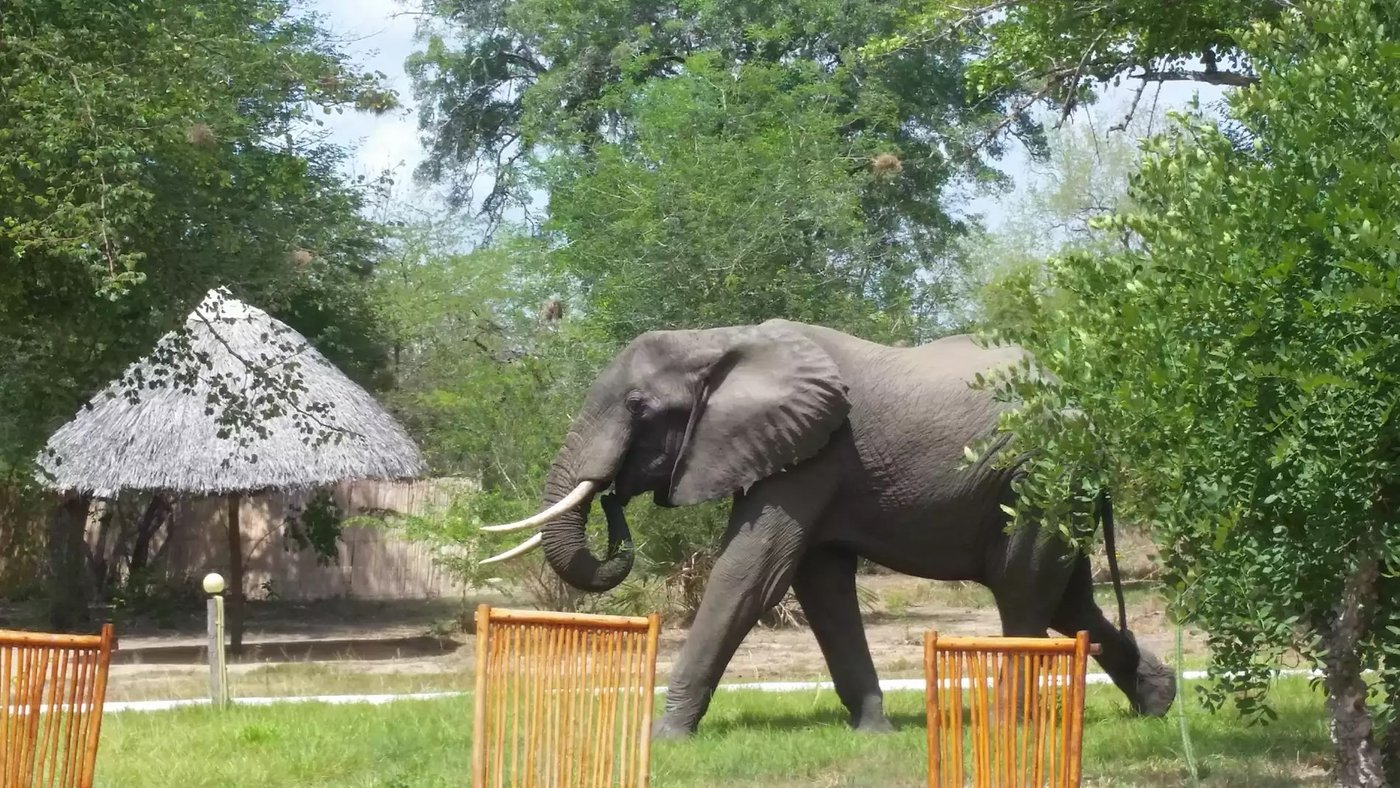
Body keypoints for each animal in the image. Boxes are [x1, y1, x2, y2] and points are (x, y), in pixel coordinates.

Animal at [476, 319, 1177, 739]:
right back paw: (1157, 705)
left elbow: (751, 573)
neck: (719, 340)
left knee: (1022, 591)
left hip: (1035, 475)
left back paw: (1008, 729)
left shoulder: (812, 453)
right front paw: (874, 733)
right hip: (1054, 485)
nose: (616, 498)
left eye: (638, 408)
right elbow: (821, 587)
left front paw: (665, 738)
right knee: (1067, 596)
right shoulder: (799, 454)